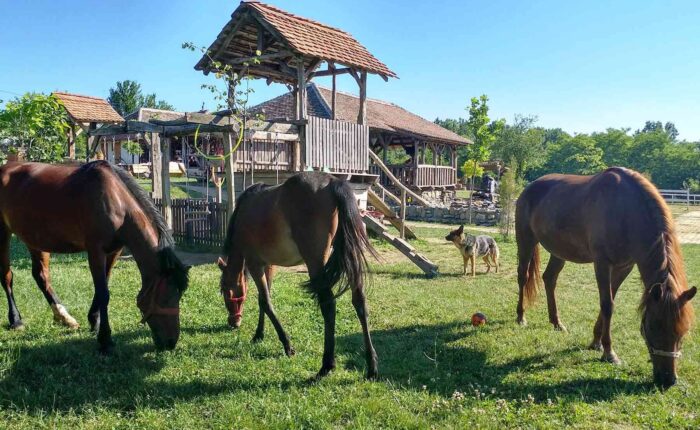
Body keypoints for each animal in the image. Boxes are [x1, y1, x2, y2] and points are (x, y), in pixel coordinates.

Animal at [0, 161, 189, 352]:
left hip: (35, 239)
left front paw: (94, 322)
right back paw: (16, 320)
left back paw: (64, 318)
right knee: (7, 276)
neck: (116, 202)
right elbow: (103, 293)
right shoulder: (95, 251)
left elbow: (103, 286)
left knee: (41, 276)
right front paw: (105, 339)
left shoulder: (114, 251)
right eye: (167, 297)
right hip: (4, 234)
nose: (171, 342)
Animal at [219, 171, 380, 380]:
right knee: (359, 301)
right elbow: (263, 299)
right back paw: (371, 366)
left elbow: (266, 302)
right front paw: (259, 334)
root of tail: (333, 183)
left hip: (315, 262)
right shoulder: (269, 265)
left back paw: (326, 366)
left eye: (224, 291)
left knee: (328, 305)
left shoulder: (255, 264)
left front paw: (287, 345)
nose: (233, 322)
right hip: (350, 258)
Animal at [516, 166, 696, 388]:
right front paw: (609, 353)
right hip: (525, 240)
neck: (626, 210)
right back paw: (521, 317)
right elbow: (607, 304)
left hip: (559, 252)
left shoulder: (624, 267)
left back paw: (557, 323)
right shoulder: (602, 263)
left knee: (549, 279)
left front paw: (596, 342)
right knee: (522, 277)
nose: (668, 380)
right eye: (653, 327)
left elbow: (610, 300)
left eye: (683, 330)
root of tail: (529, 188)